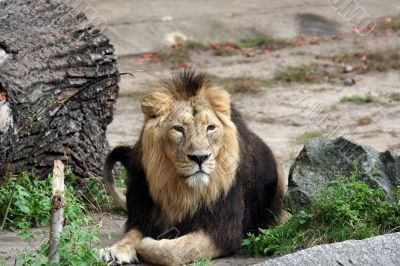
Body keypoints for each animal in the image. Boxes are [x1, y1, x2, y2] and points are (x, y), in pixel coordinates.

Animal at [98, 69, 290, 264]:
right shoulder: (143, 212)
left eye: (210, 127)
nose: (200, 157)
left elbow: (173, 250)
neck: (182, 192)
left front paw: (148, 243)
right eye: (179, 128)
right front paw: (115, 249)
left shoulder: (223, 230)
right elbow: (131, 234)